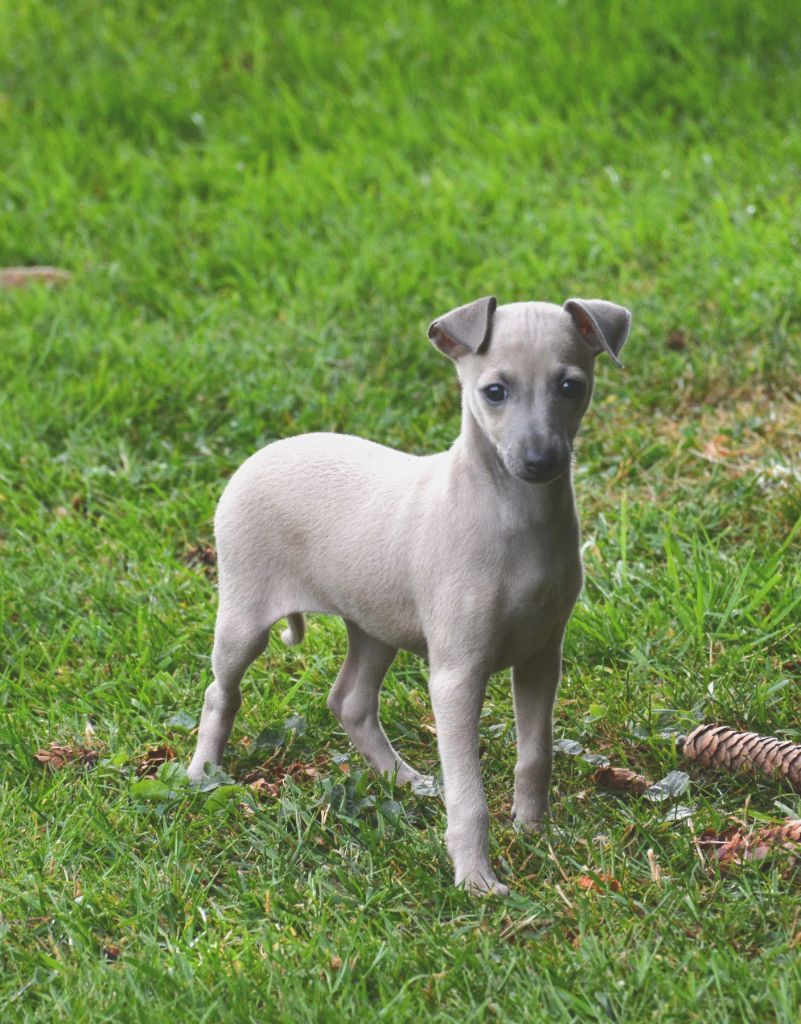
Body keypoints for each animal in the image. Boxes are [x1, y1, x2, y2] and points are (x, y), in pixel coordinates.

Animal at [189, 296, 635, 897]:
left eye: (571, 386)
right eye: (494, 391)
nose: (541, 462)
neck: (513, 517)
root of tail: (262, 454)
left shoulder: (543, 657)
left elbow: (535, 754)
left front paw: (536, 831)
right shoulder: (456, 675)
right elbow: (469, 795)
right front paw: (476, 879)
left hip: (375, 622)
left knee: (350, 702)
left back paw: (405, 779)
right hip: (244, 616)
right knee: (222, 692)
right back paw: (200, 775)